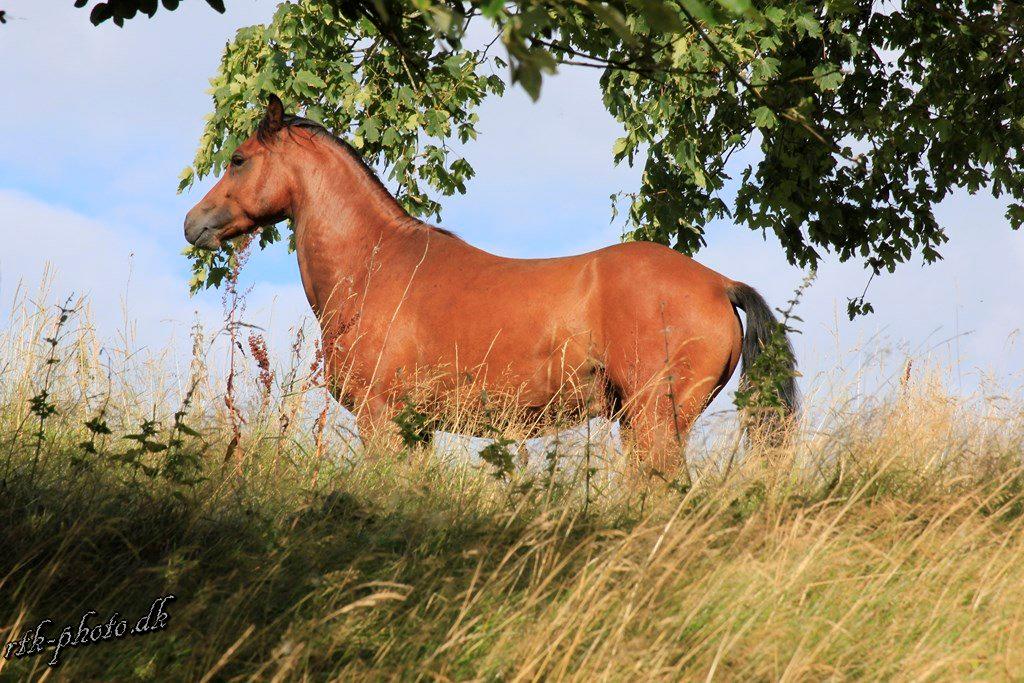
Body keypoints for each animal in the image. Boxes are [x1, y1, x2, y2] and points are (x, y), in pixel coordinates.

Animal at [184, 95, 797, 476]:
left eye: (238, 159)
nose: (194, 223)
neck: (375, 265)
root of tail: (719, 284)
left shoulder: (380, 418)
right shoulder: (416, 429)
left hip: (654, 421)